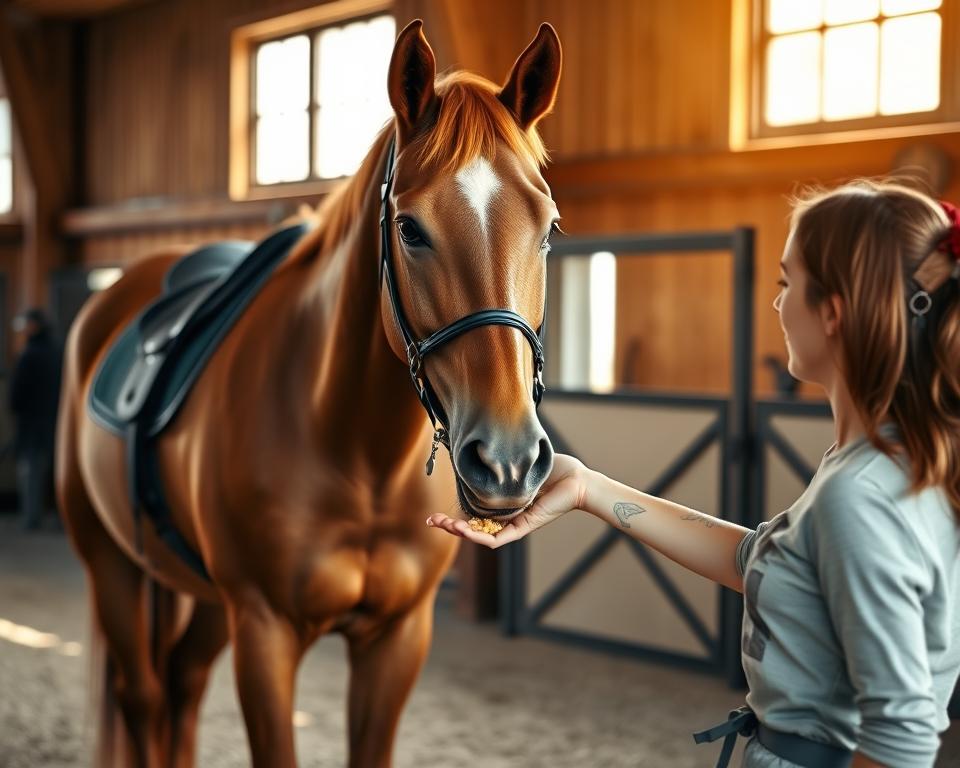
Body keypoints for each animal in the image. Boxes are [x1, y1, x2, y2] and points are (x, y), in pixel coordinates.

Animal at [55, 19, 561, 768]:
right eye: (409, 228)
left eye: (548, 229)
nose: (507, 461)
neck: (354, 450)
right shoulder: (265, 632)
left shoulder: (396, 638)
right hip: (111, 565)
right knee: (144, 699)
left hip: (206, 598)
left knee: (182, 685)